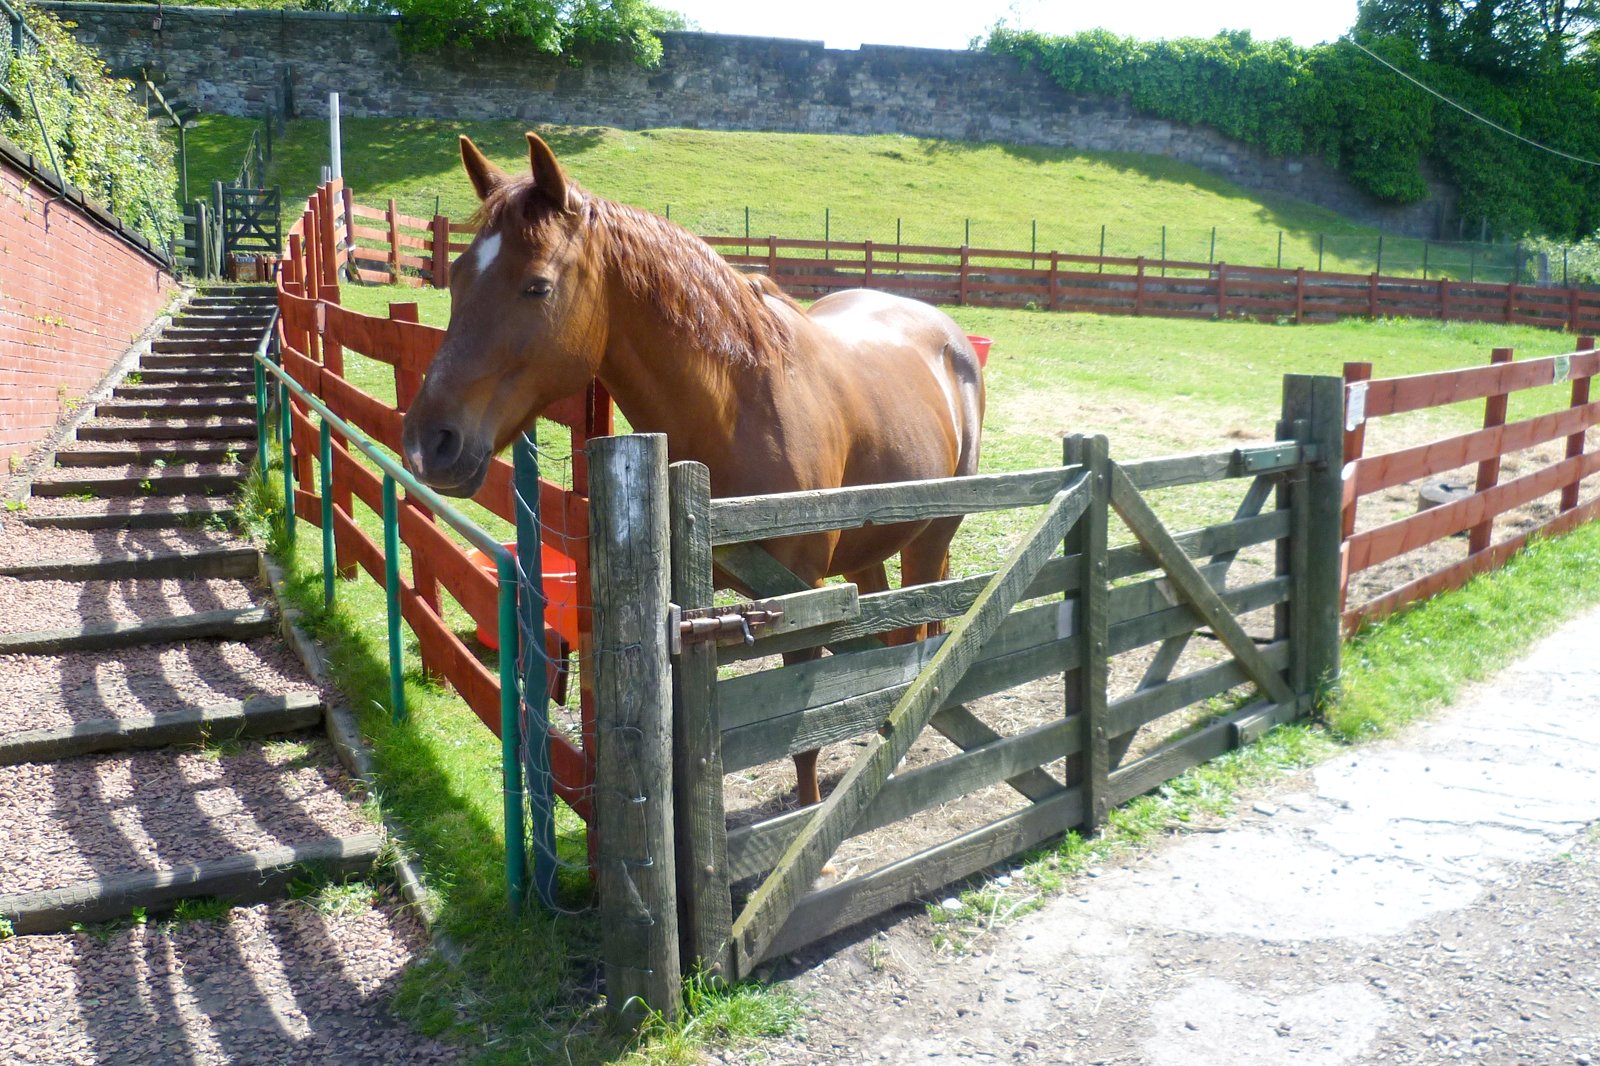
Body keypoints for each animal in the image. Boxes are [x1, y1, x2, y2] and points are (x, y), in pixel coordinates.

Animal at [400, 132, 979, 800]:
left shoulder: (801, 601)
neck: (738, 407)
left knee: (918, 634)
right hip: (869, 548)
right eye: (456, 276)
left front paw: (810, 814)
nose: (428, 442)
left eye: (536, 286)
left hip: (928, 543)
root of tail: (946, 331)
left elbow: (802, 739)